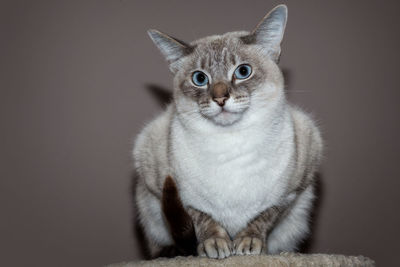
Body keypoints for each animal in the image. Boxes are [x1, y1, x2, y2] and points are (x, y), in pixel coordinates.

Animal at [133, 4, 324, 260]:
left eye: (243, 71)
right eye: (199, 78)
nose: (220, 98)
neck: (230, 147)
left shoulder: (292, 191)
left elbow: (264, 217)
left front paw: (248, 243)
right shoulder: (175, 191)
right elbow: (204, 219)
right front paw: (215, 244)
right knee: (161, 246)